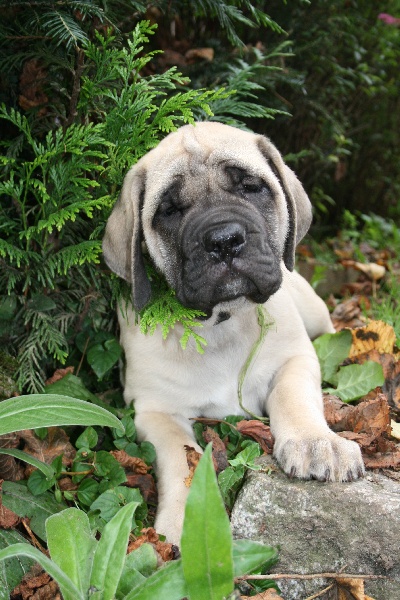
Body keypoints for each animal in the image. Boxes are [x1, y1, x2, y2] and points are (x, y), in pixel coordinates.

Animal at [103, 122, 364, 545]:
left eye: (251, 187)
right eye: (169, 210)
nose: (223, 239)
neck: (222, 322)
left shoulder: (295, 358)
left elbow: (294, 396)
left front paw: (317, 443)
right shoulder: (153, 409)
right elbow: (181, 454)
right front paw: (191, 521)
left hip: (316, 312)